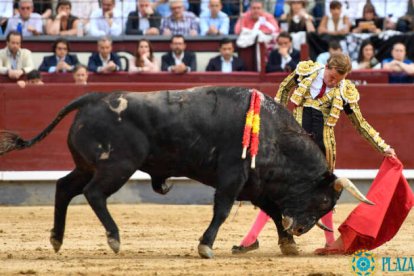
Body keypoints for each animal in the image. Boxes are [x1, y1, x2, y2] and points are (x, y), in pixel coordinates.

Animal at [0, 88, 372, 258]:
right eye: (323, 200)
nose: (301, 228)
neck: (272, 133)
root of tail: (92, 98)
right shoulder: (232, 180)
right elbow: (222, 211)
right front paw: (206, 246)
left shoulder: (256, 185)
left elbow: (273, 212)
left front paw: (288, 244)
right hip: (117, 166)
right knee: (93, 194)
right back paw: (114, 238)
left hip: (86, 165)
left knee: (64, 187)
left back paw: (57, 238)